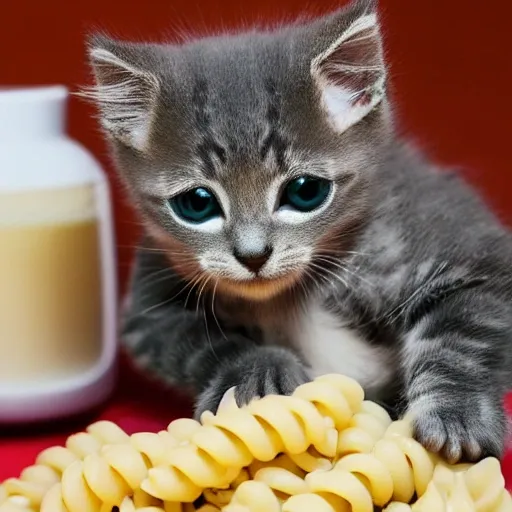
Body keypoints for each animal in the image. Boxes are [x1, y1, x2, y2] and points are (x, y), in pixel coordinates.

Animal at [82, 0, 512, 464]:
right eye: (197, 203)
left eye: (305, 192)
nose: (253, 254)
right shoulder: (148, 306)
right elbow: (200, 341)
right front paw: (257, 371)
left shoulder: (464, 244)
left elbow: (460, 336)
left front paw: (457, 411)